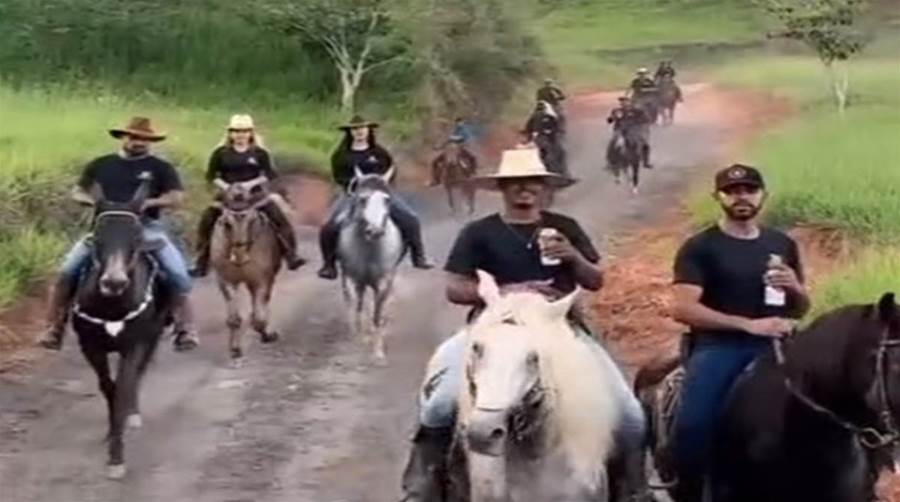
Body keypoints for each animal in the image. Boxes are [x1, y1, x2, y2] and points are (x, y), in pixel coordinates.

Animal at [70, 179, 174, 479]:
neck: (112, 305)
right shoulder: (91, 346)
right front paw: (110, 436)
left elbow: (124, 387)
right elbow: (108, 387)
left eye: (136, 235)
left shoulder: (134, 345)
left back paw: (132, 414)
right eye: (97, 234)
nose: (113, 282)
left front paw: (116, 458)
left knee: (138, 375)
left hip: (153, 335)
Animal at [209, 176, 283, 365]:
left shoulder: (262, 280)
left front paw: (266, 334)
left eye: (252, 221)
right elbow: (234, 319)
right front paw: (235, 350)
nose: (239, 257)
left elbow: (259, 318)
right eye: (227, 223)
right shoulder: (225, 281)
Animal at [337, 168, 406, 365]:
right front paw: (358, 339)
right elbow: (357, 308)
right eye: (362, 199)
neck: (370, 251)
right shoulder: (352, 279)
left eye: (386, 199)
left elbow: (377, 315)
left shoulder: (383, 282)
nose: (375, 231)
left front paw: (378, 353)